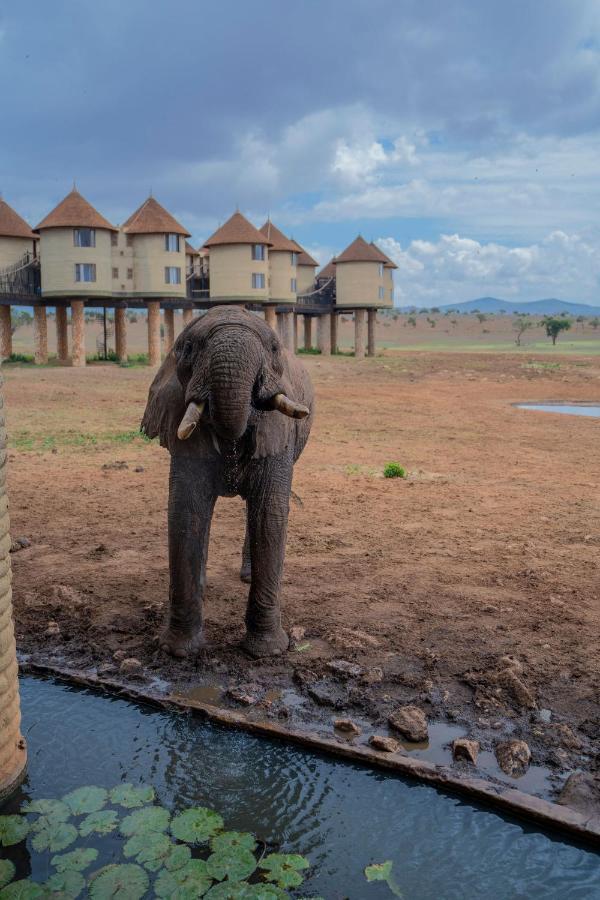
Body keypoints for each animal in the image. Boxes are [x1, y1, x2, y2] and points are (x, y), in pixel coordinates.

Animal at [141, 306, 314, 656]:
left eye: (273, 349)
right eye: (188, 348)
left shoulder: (278, 430)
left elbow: (270, 514)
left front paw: (267, 652)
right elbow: (186, 512)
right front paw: (179, 651)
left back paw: (246, 577)